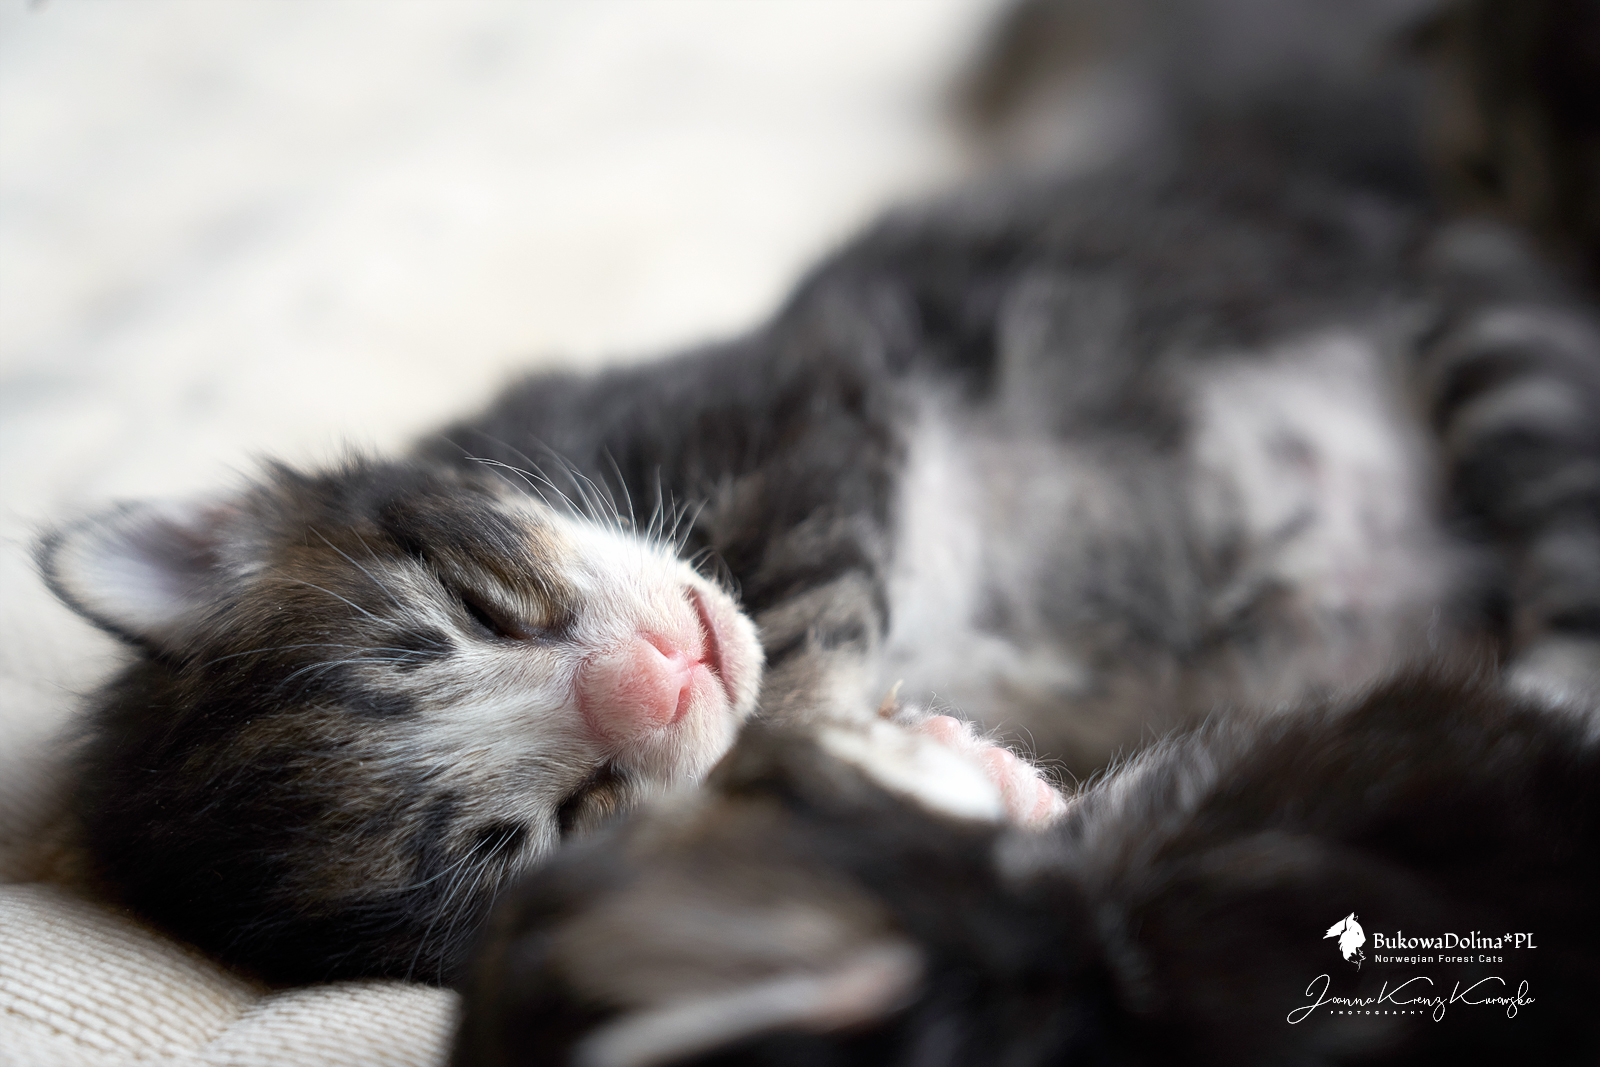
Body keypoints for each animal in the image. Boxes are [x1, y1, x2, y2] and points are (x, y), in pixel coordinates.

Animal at [38, 0, 1600, 986]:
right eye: (561, 818)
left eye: (482, 608)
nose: (666, 672)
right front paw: (960, 779)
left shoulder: (808, 404)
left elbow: (798, 637)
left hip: (1488, 334)